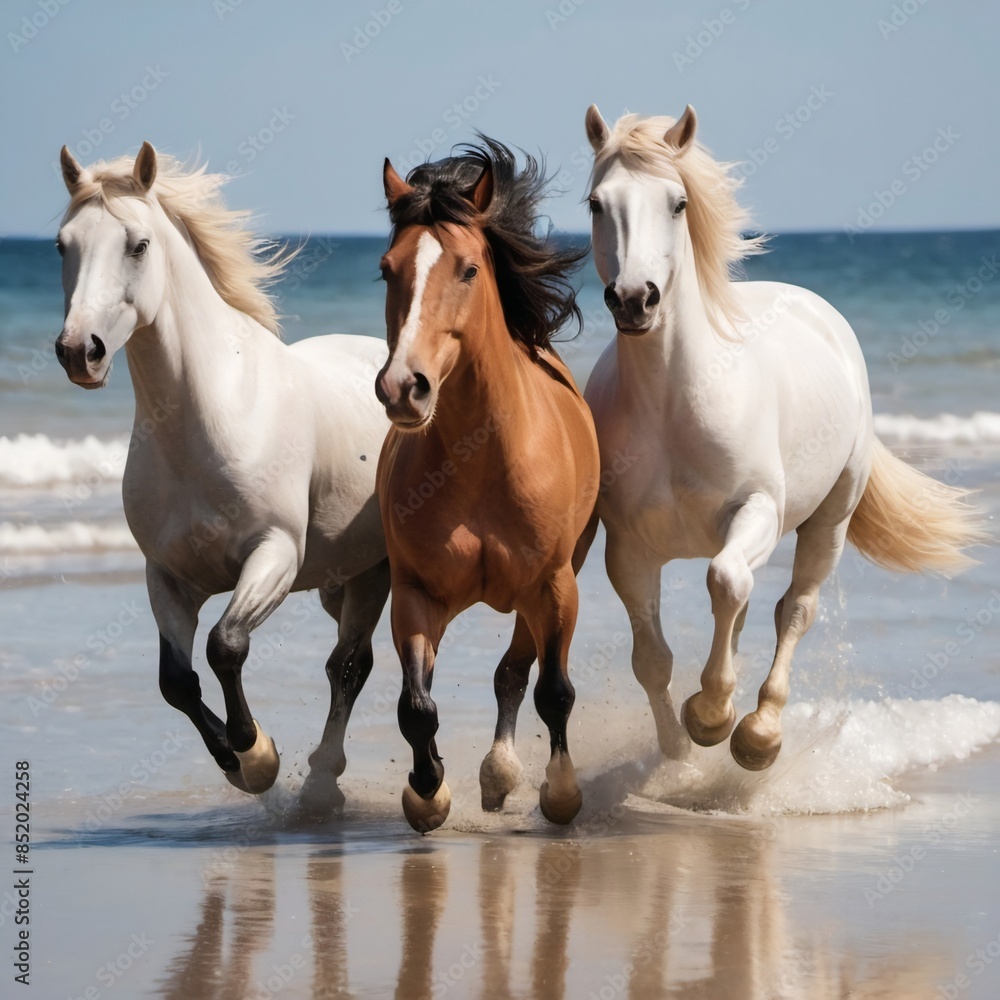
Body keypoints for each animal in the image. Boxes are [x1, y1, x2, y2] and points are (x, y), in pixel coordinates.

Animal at [54, 142, 391, 810]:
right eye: (62, 245)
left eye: (138, 244)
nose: (80, 351)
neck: (208, 418)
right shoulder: (167, 575)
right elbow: (177, 681)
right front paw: (241, 763)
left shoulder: (275, 555)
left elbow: (225, 645)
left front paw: (256, 753)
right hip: (343, 576)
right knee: (345, 661)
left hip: (379, 569)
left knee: (349, 666)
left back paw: (326, 783)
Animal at [375, 139, 600, 832]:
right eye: (386, 270)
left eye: (470, 268)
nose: (403, 387)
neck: (480, 465)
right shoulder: (415, 595)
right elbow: (415, 707)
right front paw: (427, 792)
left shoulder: (555, 587)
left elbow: (554, 692)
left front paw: (562, 794)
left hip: (548, 587)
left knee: (516, 673)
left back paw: (502, 773)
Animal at [582, 105, 985, 770]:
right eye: (596, 203)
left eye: (677, 203)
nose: (636, 299)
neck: (673, 404)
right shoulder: (630, 548)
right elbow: (653, 657)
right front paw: (678, 751)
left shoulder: (758, 511)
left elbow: (727, 583)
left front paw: (712, 717)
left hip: (830, 519)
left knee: (792, 607)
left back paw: (758, 734)